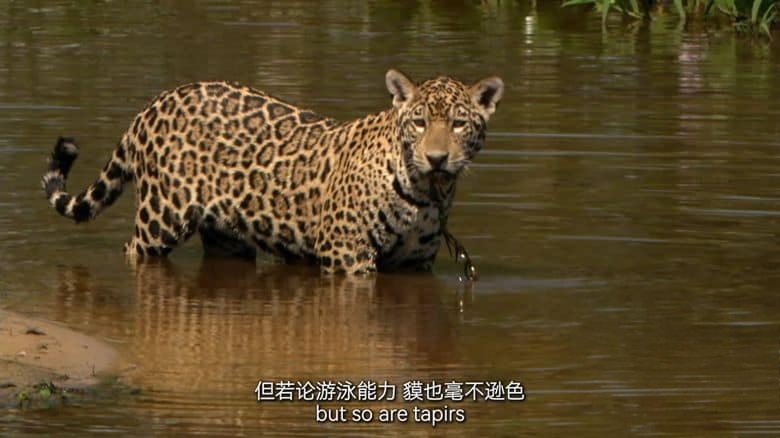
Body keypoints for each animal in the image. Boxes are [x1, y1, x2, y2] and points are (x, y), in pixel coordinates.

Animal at [42, 69, 504, 274]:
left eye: (459, 124)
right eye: (419, 123)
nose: (437, 158)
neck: (427, 191)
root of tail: (153, 103)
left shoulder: (414, 264)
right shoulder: (348, 257)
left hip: (227, 237)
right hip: (160, 220)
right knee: (133, 250)